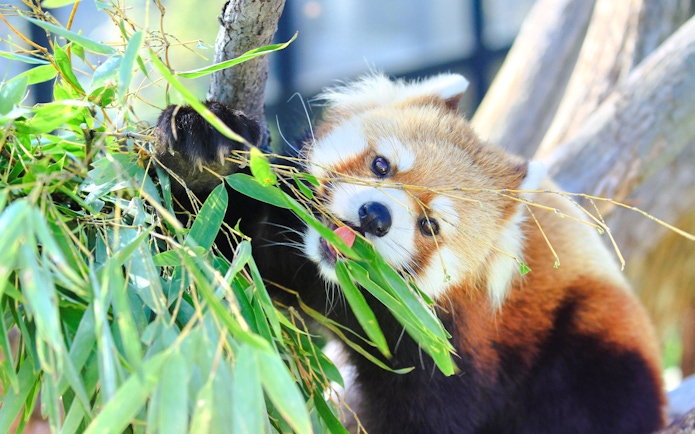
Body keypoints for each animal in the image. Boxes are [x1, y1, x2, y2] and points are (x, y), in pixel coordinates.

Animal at [155, 74, 666, 433]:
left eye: (429, 224)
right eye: (381, 165)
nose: (375, 216)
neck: (341, 287)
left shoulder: (451, 346)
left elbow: (426, 415)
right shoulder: (288, 248)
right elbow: (208, 248)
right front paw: (203, 140)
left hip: (590, 347)